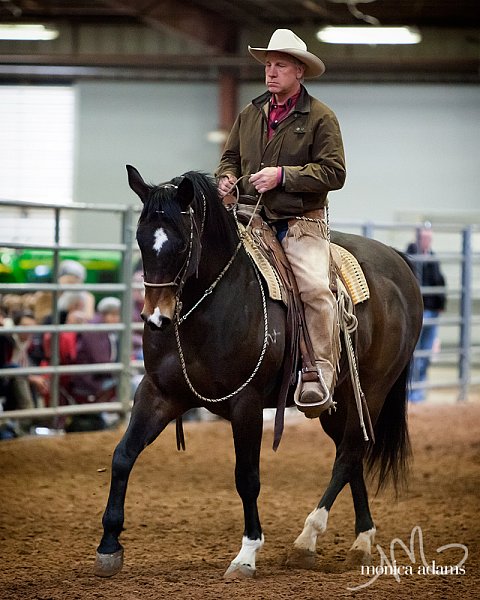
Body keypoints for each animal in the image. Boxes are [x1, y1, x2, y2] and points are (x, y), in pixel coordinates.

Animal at [95, 166, 422, 580]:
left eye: (181, 244)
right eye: (140, 239)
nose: (156, 318)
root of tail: (398, 261)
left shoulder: (246, 404)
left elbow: (247, 477)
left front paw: (247, 554)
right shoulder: (157, 393)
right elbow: (123, 455)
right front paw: (109, 546)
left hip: (374, 390)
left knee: (350, 453)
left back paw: (307, 540)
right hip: (339, 401)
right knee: (351, 457)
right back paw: (361, 540)